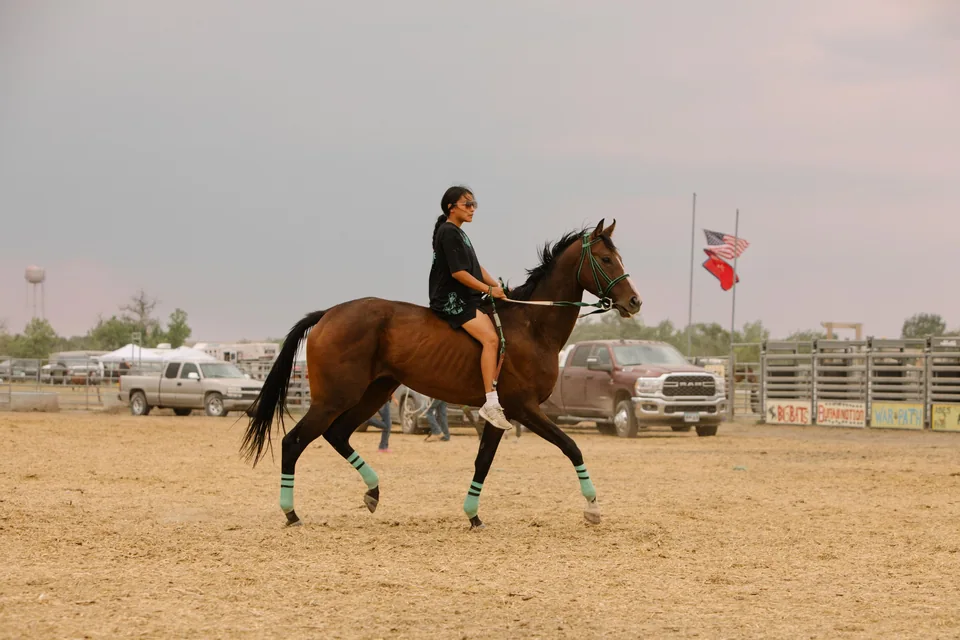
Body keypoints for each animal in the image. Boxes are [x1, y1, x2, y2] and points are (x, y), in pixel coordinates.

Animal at [240, 219, 642, 529]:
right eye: (606, 259)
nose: (634, 302)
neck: (531, 324)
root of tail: (328, 313)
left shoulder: (502, 415)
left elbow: (483, 461)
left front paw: (473, 515)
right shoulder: (524, 408)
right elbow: (571, 446)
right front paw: (592, 508)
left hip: (374, 392)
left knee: (337, 434)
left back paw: (373, 492)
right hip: (335, 397)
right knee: (294, 441)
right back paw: (291, 513)